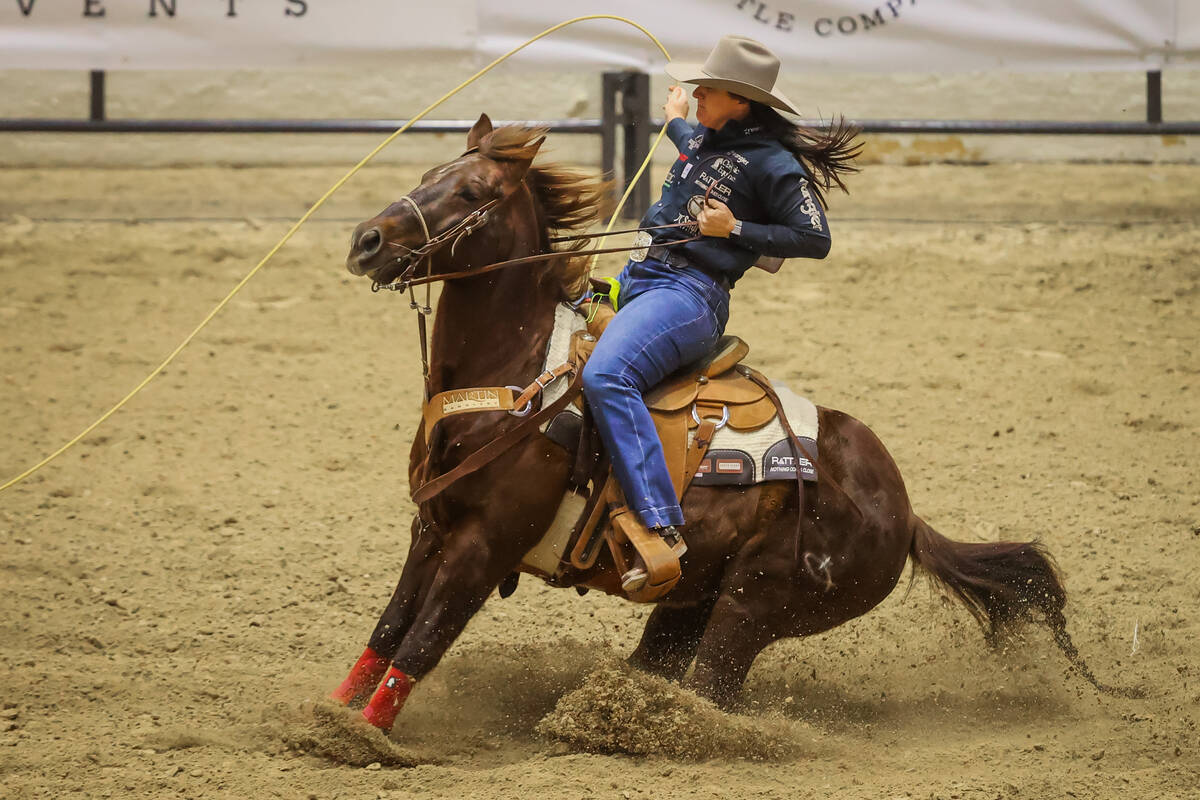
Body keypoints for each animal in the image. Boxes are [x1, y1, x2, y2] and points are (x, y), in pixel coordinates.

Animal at [326, 115, 1113, 734]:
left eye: (469, 193)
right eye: (428, 172)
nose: (366, 241)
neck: (518, 373)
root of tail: (905, 513)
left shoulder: (486, 543)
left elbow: (424, 640)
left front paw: (364, 738)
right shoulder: (432, 528)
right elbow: (389, 627)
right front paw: (329, 717)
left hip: (754, 603)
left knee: (711, 689)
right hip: (689, 599)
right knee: (662, 667)